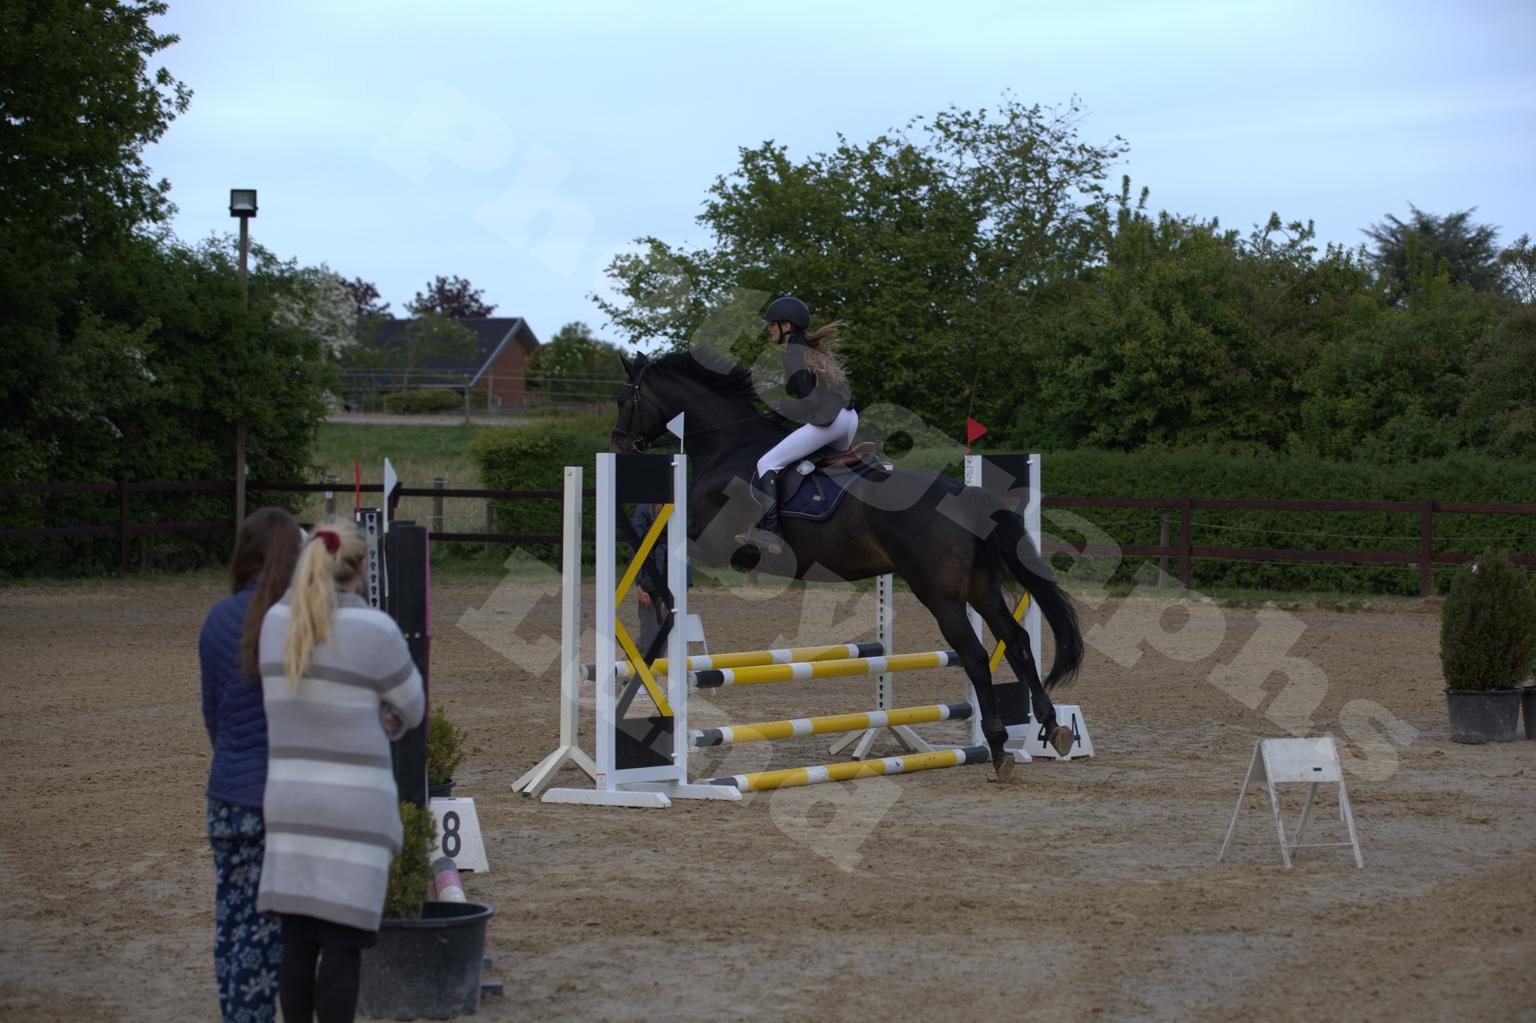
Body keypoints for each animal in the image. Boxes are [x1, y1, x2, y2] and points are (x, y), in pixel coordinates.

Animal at [611, 350, 1082, 779]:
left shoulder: (710, 542)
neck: (730, 449)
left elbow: (662, 551)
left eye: (624, 397)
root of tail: (963, 495)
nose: (618, 445)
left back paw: (1000, 748)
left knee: (976, 655)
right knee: (1016, 640)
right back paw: (1051, 725)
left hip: (942, 595)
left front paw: (654, 593)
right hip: (981, 588)